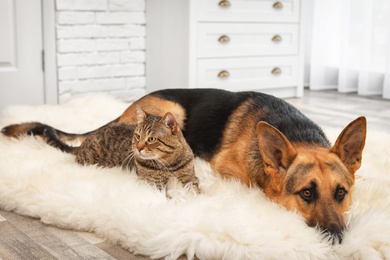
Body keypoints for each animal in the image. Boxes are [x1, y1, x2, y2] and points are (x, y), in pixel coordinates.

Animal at [1, 107, 200, 193]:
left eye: (151, 139)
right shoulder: (152, 184)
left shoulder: (190, 179)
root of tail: (85, 141)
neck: (169, 163)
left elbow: (194, 191)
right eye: (137, 136)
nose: (137, 148)